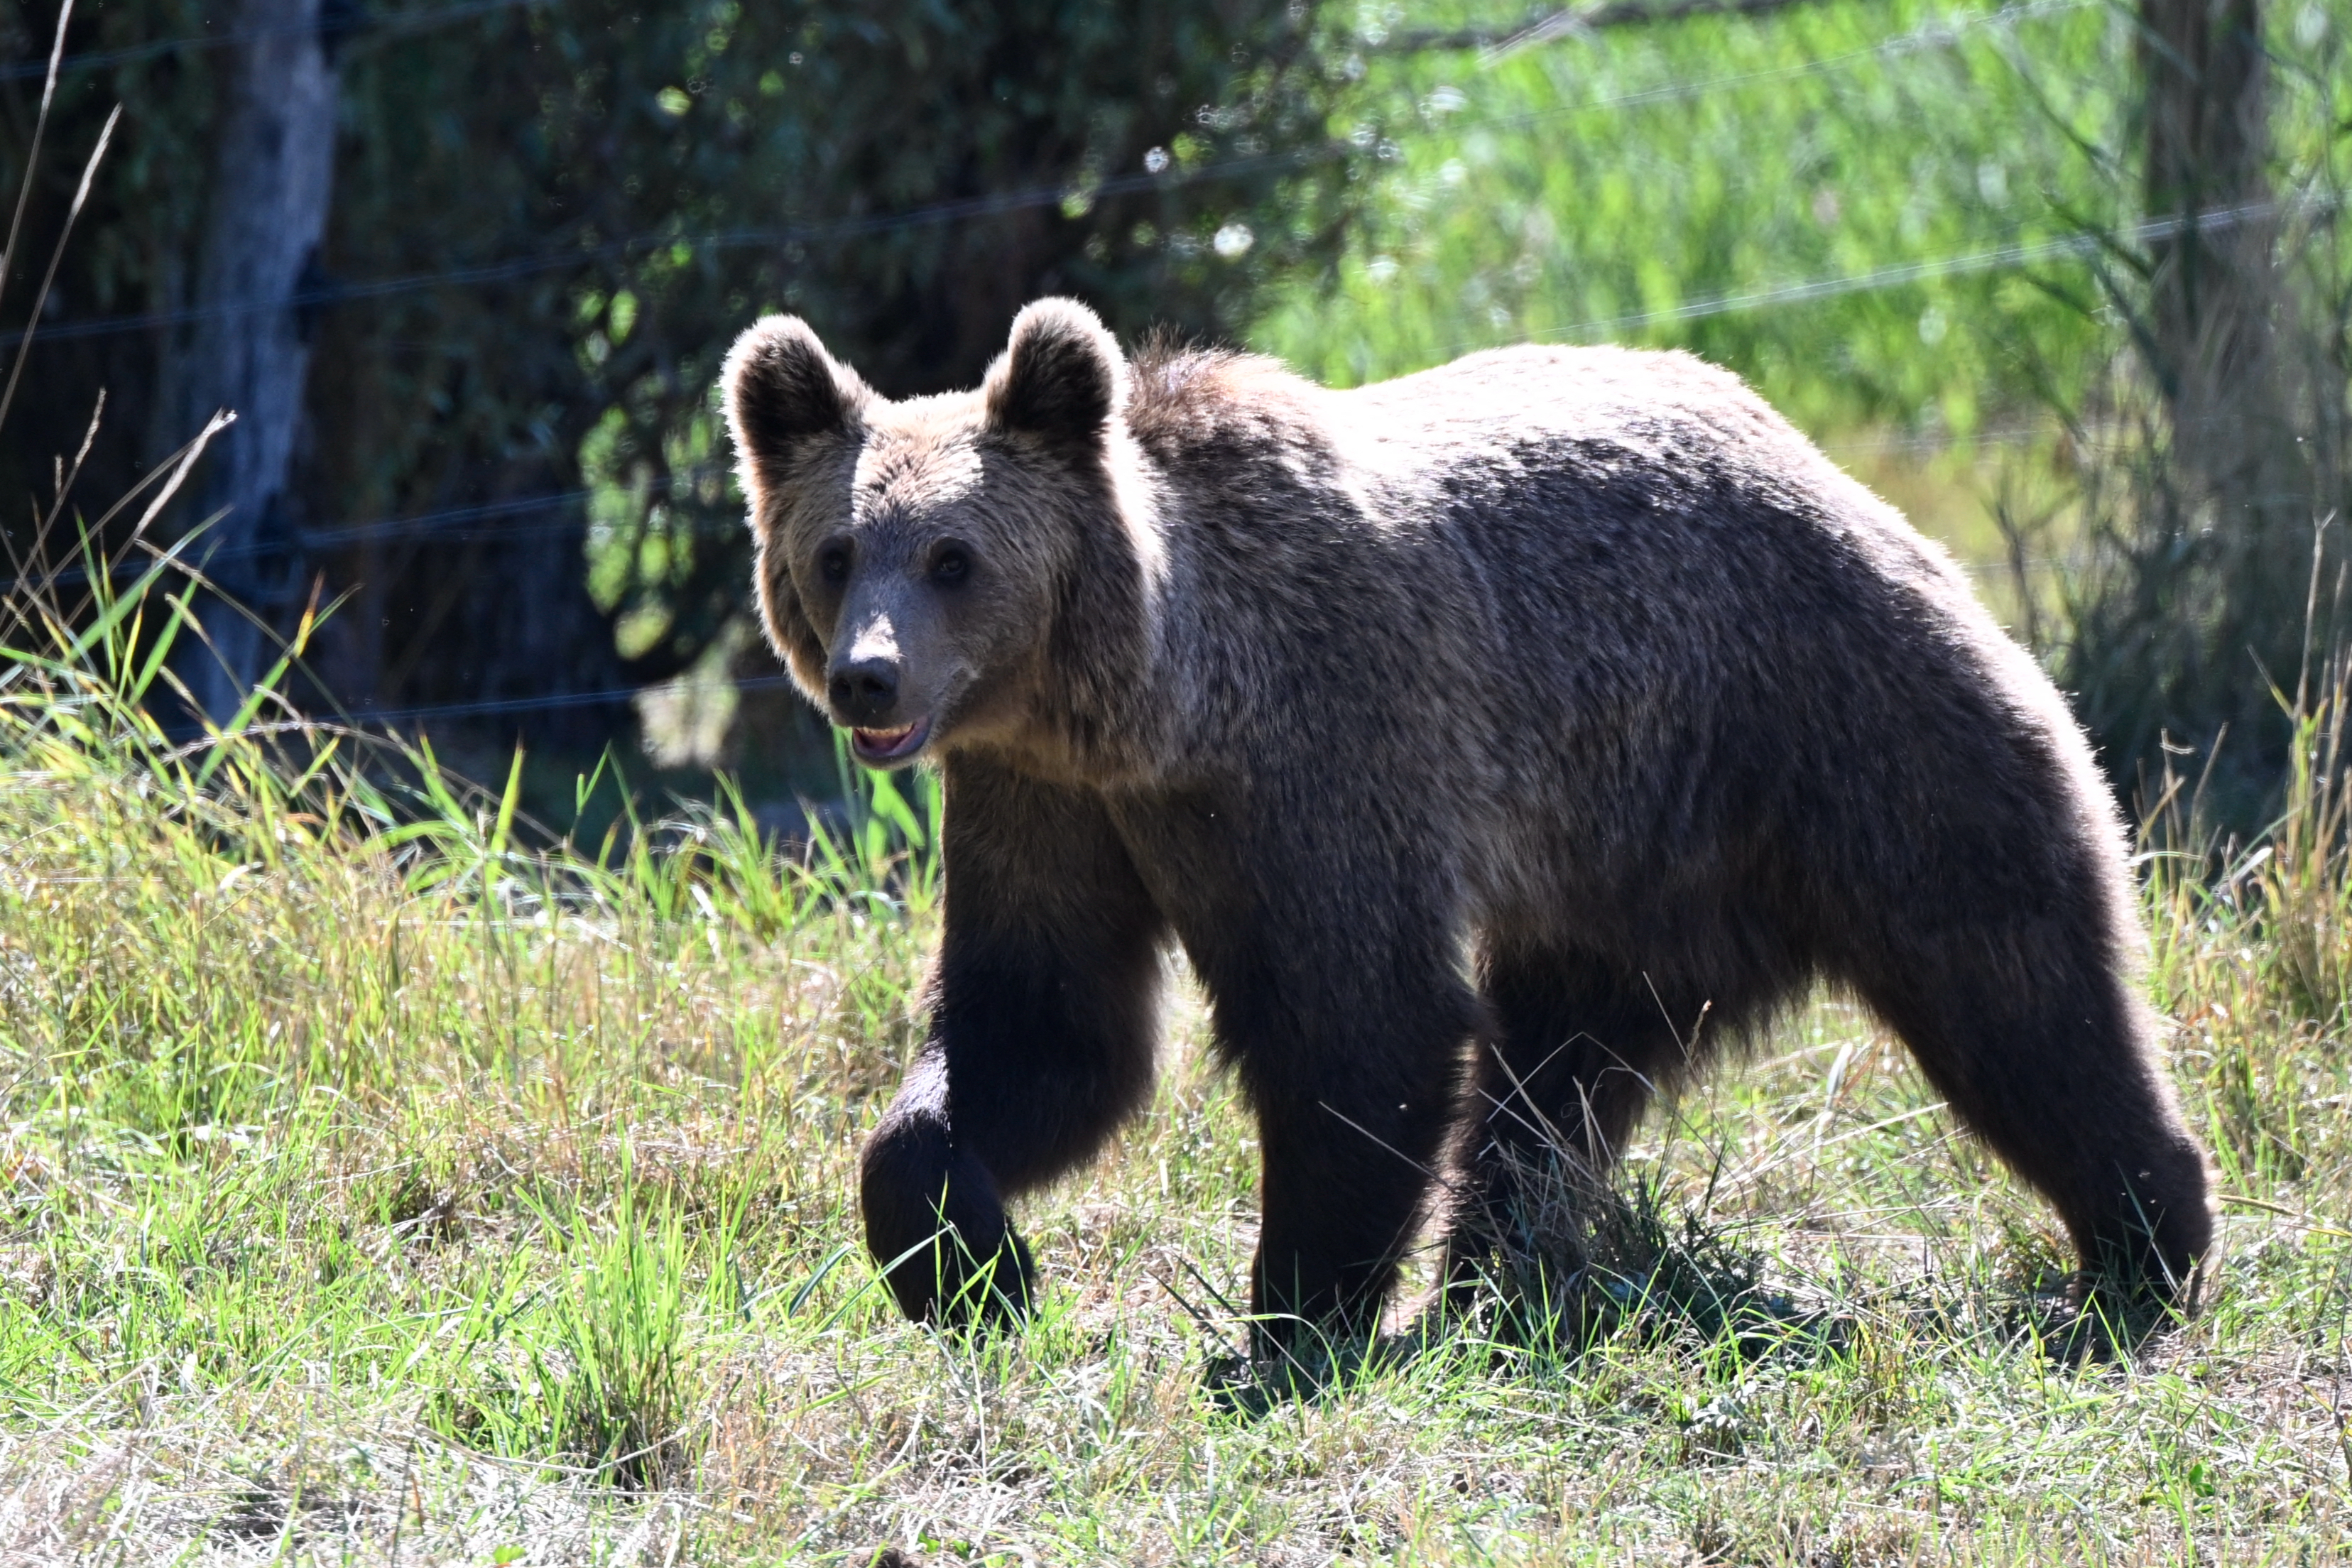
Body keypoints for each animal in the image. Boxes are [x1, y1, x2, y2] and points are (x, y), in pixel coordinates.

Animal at [720, 297, 2215, 1352]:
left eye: (951, 556)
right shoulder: (1045, 801)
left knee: (2012, 979)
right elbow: (1046, 1027)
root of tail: (1831, 469)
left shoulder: (1317, 759)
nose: (868, 678)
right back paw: (1499, 1267)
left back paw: (2150, 1233)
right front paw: (973, 1262)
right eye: (837, 550)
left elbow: (1359, 1017)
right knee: (1553, 1071)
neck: (1154, 693)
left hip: (1837, 727)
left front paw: (1290, 1316)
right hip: (1626, 865)